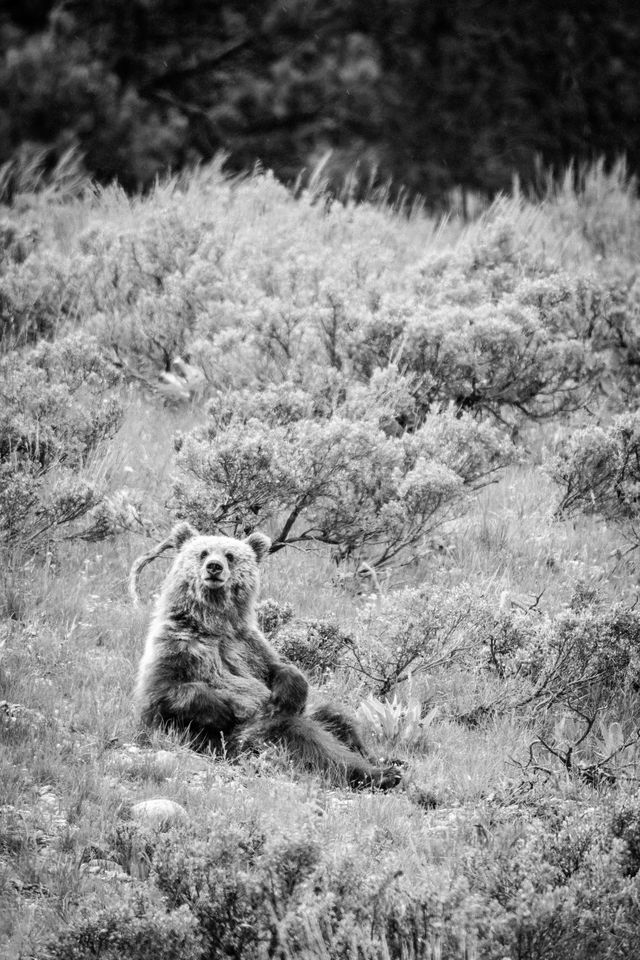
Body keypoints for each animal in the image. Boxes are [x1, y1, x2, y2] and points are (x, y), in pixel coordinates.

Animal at [131, 520, 402, 792]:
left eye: (230, 555)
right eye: (203, 552)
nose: (214, 567)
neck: (213, 624)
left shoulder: (248, 644)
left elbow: (278, 667)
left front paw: (289, 688)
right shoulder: (178, 644)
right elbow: (163, 690)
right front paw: (220, 708)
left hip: (307, 713)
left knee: (338, 717)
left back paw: (385, 760)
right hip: (249, 735)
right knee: (308, 740)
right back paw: (379, 774)